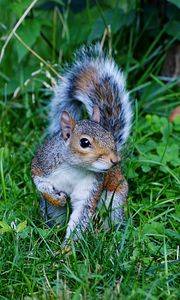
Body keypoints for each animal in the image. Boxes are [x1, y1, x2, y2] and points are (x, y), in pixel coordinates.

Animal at [31, 44, 132, 241]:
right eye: (84, 142)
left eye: (110, 137)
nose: (115, 160)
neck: (75, 168)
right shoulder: (42, 164)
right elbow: (39, 182)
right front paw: (56, 197)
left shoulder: (91, 188)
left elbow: (81, 217)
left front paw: (67, 248)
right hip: (52, 212)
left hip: (115, 197)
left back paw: (106, 234)